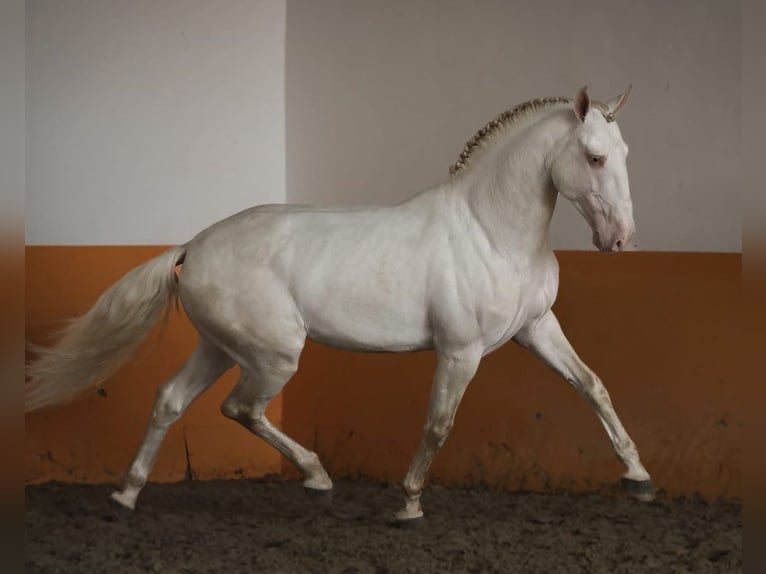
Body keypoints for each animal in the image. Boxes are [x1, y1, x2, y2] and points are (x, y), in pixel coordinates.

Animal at [25, 84, 656, 528]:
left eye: (626, 152)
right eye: (595, 158)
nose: (621, 239)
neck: (492, 231)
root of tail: (194, 246)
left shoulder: (537, 329)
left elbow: (593, 386)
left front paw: (639, 477)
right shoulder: (460, 350)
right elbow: (438, 424)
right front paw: (408, 505)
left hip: (219, 348)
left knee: (169, 401)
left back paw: (126, 495)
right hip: (273, 356)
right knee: (240, 409)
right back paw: (317, 478)